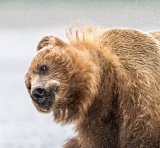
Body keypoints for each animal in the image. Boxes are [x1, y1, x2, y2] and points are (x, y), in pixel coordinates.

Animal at [25, 25, 160, 148]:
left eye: (43, 67)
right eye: (28, 85)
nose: (37, 92)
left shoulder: (139, 93)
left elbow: (141, 137)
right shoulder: (97, 120)